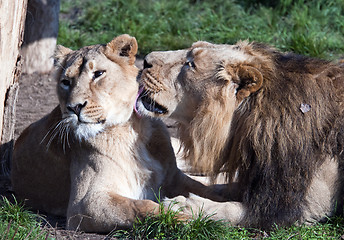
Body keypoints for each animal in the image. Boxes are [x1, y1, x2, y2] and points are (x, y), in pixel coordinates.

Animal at [136, 39, 344, 229]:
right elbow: (220, 189)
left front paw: (182, 206)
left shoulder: (306, 204)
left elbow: (231, 209)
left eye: (191, 64)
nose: (145, 61)